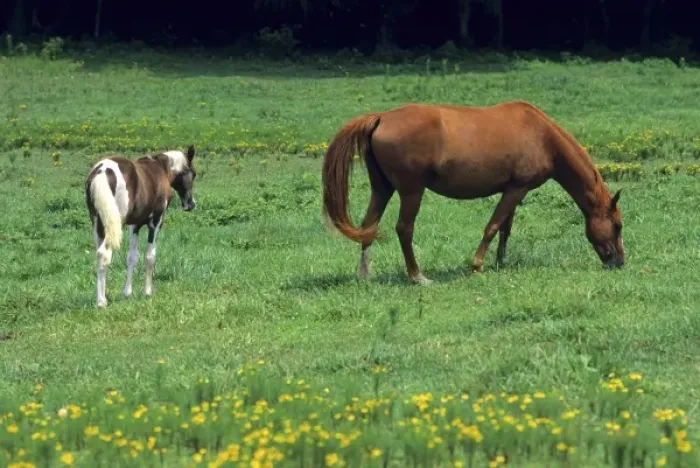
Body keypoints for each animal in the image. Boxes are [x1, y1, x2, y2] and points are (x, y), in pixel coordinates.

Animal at [85, 145, 198, 307]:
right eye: (193, 174)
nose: (191, 204)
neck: (161, 169)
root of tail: (102, 171)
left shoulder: (134, 225)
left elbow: (132, 257)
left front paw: (127, 292)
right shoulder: (156, 221)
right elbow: (150, 256)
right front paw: (147, 292)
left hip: (98, 224)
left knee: (99, 254)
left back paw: (101, 298)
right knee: (104, 254)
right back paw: (101, 302)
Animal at [321, 100, 624, 285]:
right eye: (618, 225)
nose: (619, 262)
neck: (542, 136)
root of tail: (381, 118)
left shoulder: (513, 190)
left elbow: (505, 229)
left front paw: (501, 261)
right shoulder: (516, 189)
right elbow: (493, 226)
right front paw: (477, 265)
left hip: (382, 188)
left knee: (369, 226)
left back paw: (364, 274)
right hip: (411, 191)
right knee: (404, 229)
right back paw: (417, 276)